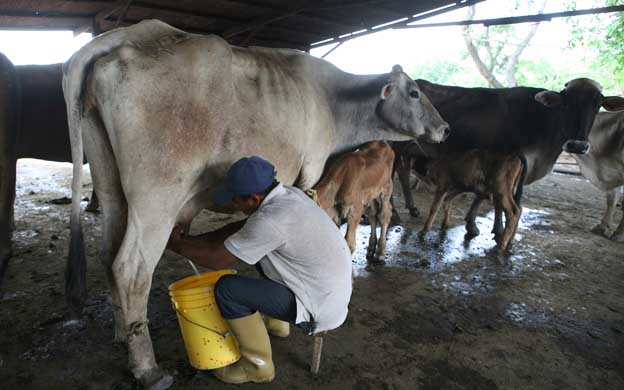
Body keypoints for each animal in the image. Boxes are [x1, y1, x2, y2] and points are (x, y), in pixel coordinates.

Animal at [62, 19, 448, 388]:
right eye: (415, 92)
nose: (445, 128)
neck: (332, 101)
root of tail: (126, 36)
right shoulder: (310, 172)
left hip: (110, 185)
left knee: (108, 253)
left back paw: (121, 334)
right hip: (157, 195)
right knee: (131, 268)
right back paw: (147, 368)